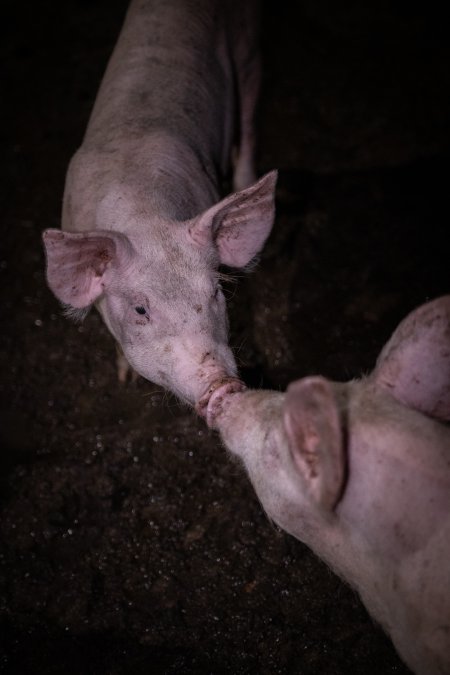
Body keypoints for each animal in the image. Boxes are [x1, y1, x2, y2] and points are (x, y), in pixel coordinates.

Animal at [42, 0, 276, 412]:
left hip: (250, 43)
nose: (222, 385)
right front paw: (126, 378)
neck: (144, 215)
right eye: (140, 310)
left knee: (249, 118)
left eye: (216, 291)